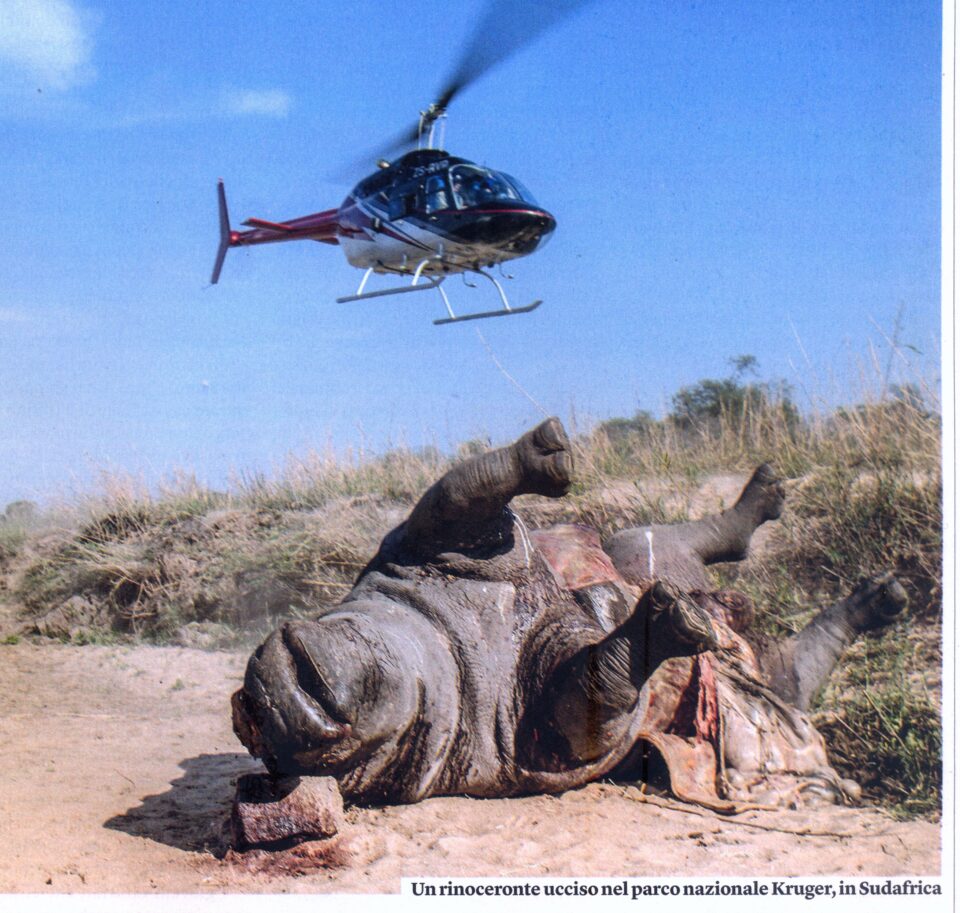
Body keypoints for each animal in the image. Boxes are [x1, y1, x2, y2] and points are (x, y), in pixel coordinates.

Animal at [232, 418, 907, 815]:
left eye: (300, 682)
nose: (276, 706)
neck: (447, 648)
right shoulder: (527, 743)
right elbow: (594, 695)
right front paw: (659, 631)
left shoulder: (421, 554)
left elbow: (456, 496)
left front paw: (540, 453)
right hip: (751, 683)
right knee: (787, 676)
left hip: (637, 555)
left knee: (661, 542)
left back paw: (766, 505)